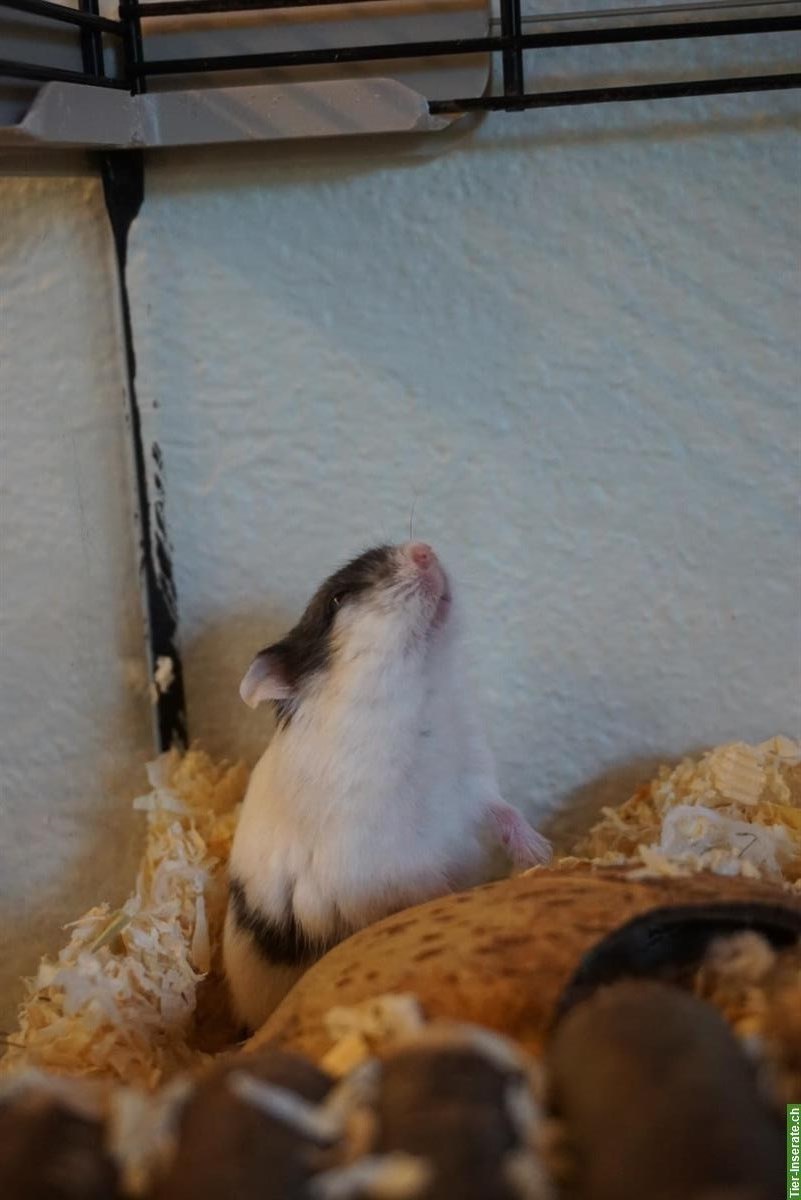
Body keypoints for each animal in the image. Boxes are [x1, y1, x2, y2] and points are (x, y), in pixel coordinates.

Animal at [223, 542, 552, 1031]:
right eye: (338, 599)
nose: (424, 550)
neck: (419, 692)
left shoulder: (473, 783)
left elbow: (504, 811)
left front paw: (539, 856)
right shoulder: (383, 864)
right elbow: (425, 886)